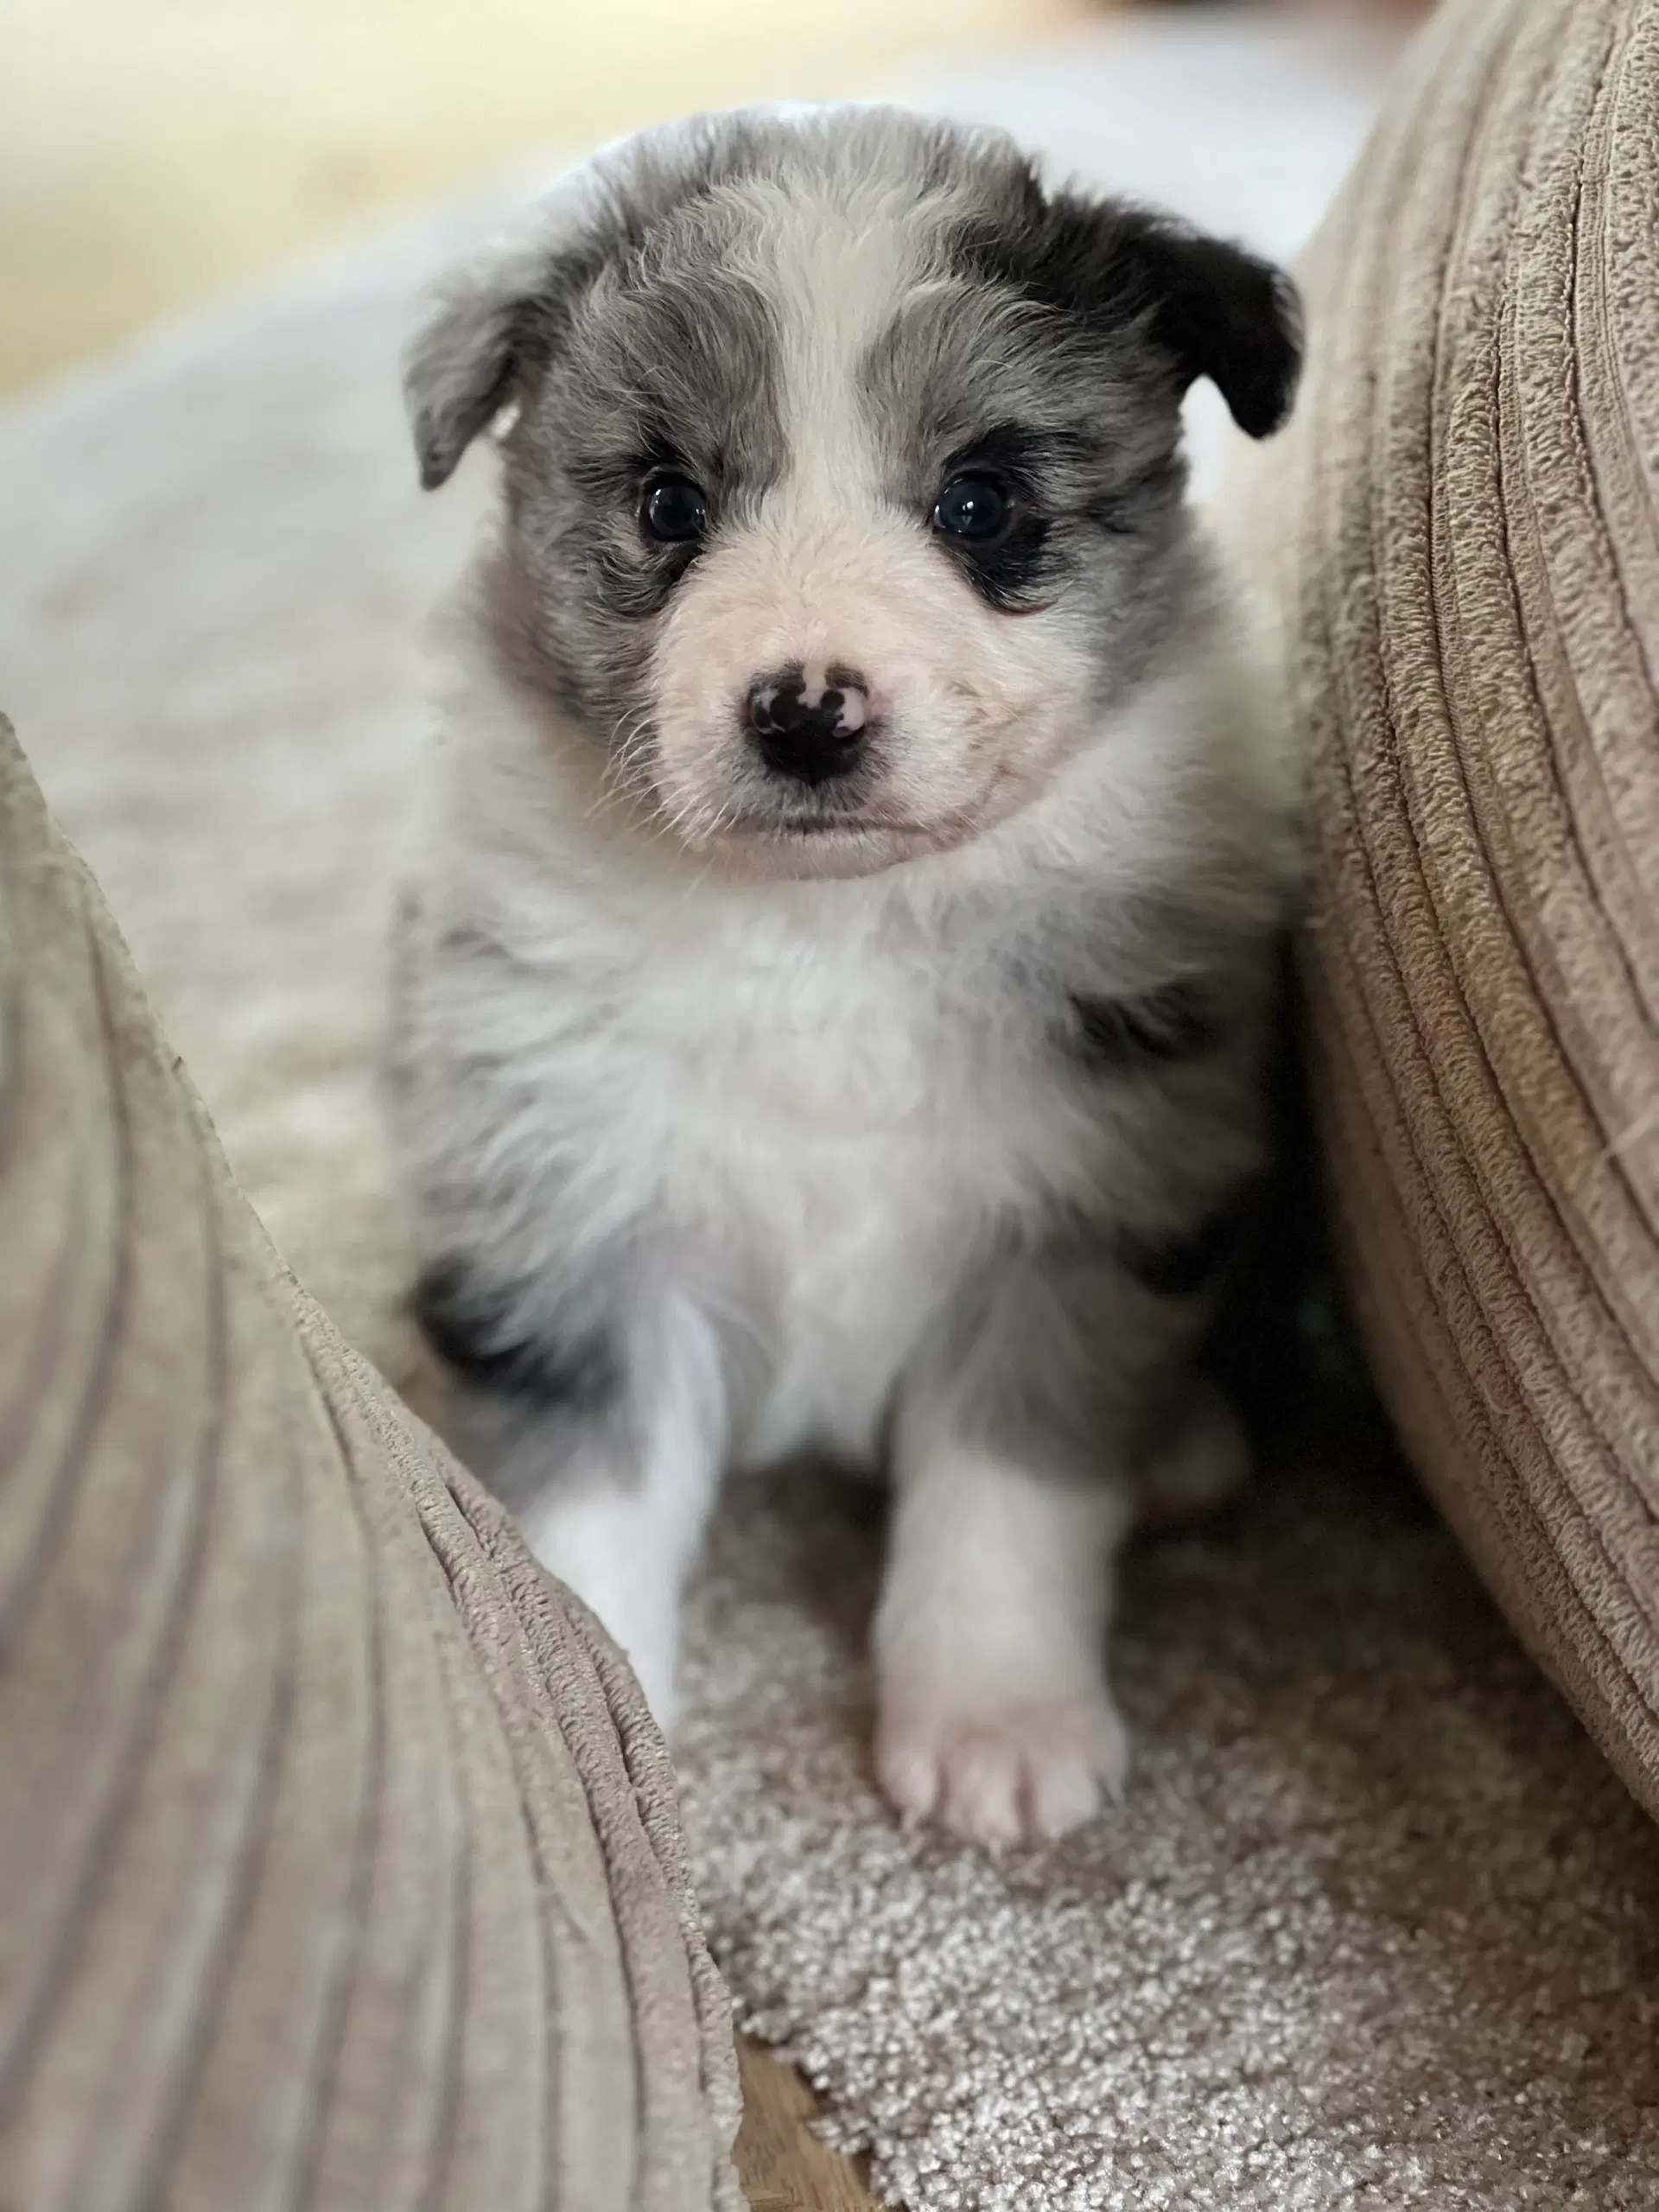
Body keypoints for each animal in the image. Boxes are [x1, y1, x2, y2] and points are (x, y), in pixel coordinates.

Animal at [396, 111, 1309, 1858]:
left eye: (981, 501)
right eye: (668, 502)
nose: (806, 712)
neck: (830, 931)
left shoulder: (1076, 1209)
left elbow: (1006, 1494)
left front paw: (998, 1731)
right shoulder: (575, 1217)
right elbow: (586, 1513)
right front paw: (602, 1757)